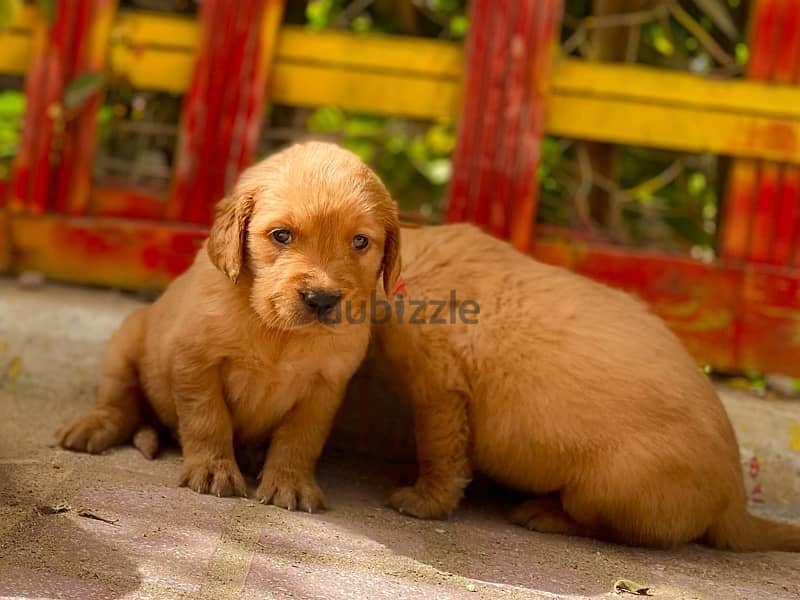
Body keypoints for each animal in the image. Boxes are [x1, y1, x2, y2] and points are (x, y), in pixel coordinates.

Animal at [57, 142, 400, 510]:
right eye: (281, 235)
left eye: (360, 242)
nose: (321, 299)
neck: (278, 332)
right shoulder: (195, 361)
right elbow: (208, 418)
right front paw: (213, 469)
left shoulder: (325, 385)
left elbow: (300, 438)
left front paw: (290, 482)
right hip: (124, 343)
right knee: (118, 401)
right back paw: (93, 426)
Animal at [378, 223, 800, 552]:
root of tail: (737, 502)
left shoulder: (439, 389)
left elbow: (439, 454)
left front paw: (421, 501)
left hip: (609, 485)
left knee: (618, 531)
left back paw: (542, 514)